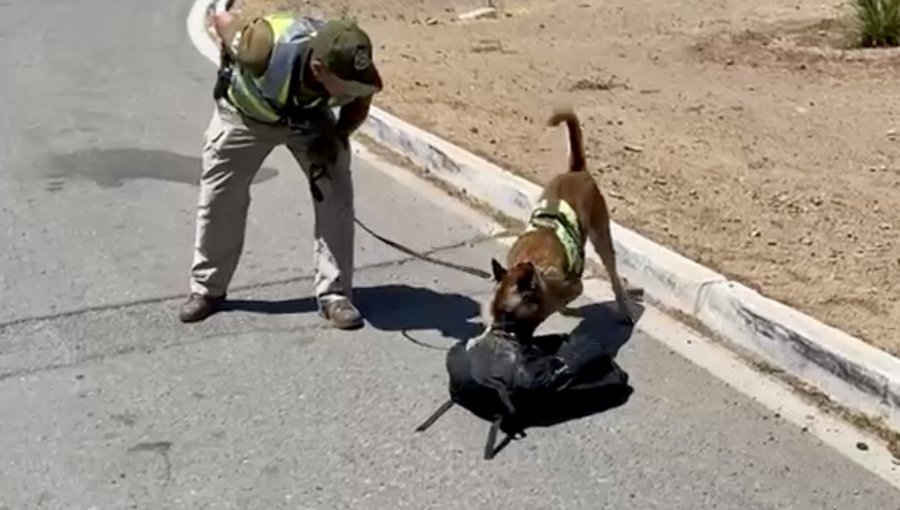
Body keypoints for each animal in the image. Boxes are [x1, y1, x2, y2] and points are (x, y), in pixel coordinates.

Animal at [488, 105, 636, 340]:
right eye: (493, 311)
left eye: (508, 314)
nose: (495, 330)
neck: (533, 264)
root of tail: (577, 170)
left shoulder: (574, 286)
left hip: (602, 238)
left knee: (614, 278)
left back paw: (623, 308)